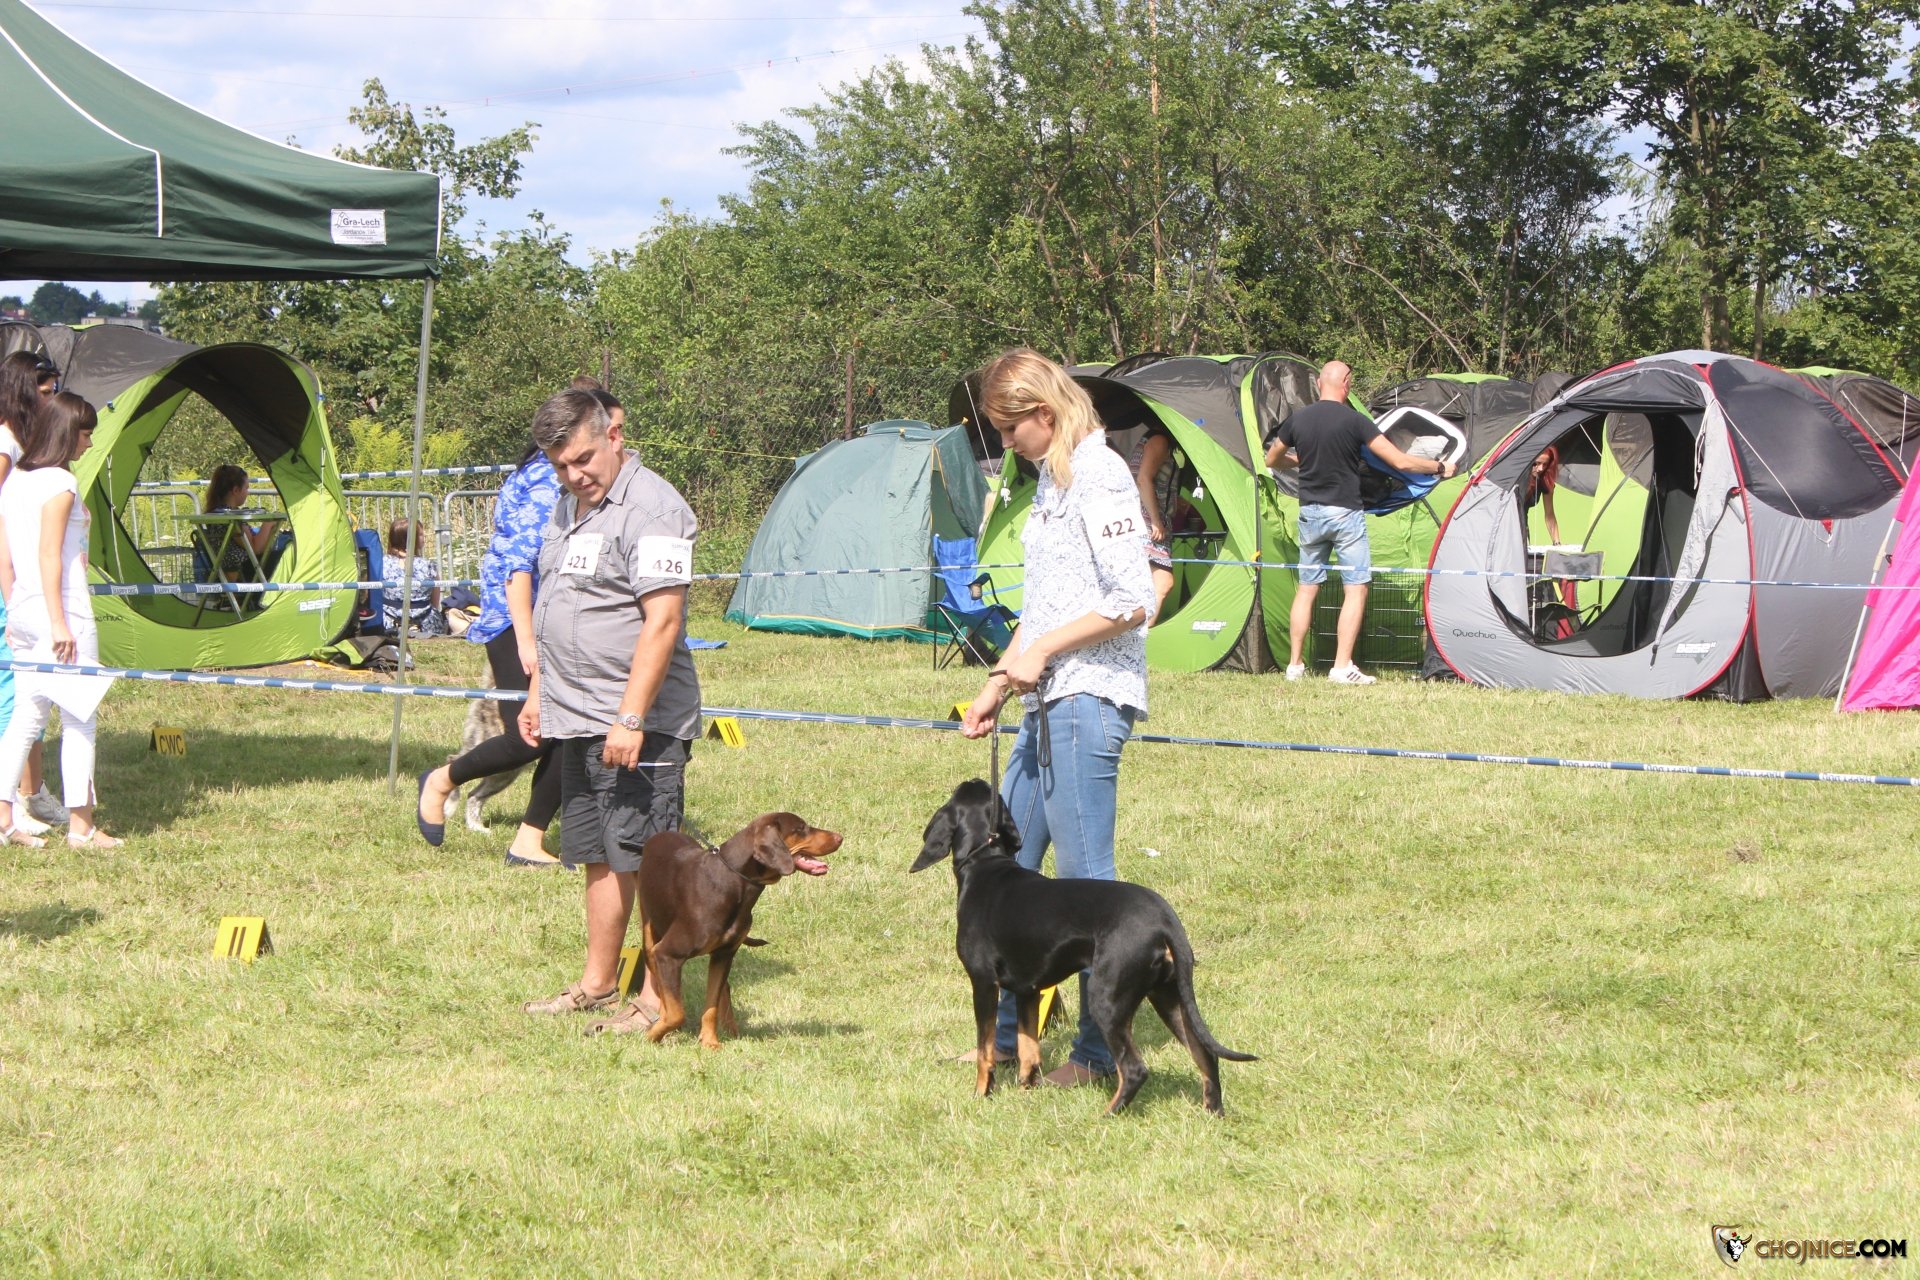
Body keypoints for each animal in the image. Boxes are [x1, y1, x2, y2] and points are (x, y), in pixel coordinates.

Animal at [637, 813, 842, 1049]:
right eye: (800, 828)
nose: (840, 837)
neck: (731, 880)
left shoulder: (724, 954)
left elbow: (711, 1005)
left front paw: (710, 1042)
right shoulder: (668, 954)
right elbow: (676, 1013)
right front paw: (652, 1035)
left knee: (723, 989)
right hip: (650, 939)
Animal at [912, 779, 1255, 1115]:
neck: (985, 863)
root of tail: (1165, 918)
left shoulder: (983, 982)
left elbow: (986, 1050)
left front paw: (981, 1094)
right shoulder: (1028, 991)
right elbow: (1028, 1050)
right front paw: (1025, 1093)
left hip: (1106, 998)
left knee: (1134, 1070)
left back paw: (1108, 1115)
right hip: (1169, 996)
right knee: (1206, 1055)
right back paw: (1213, 1112)